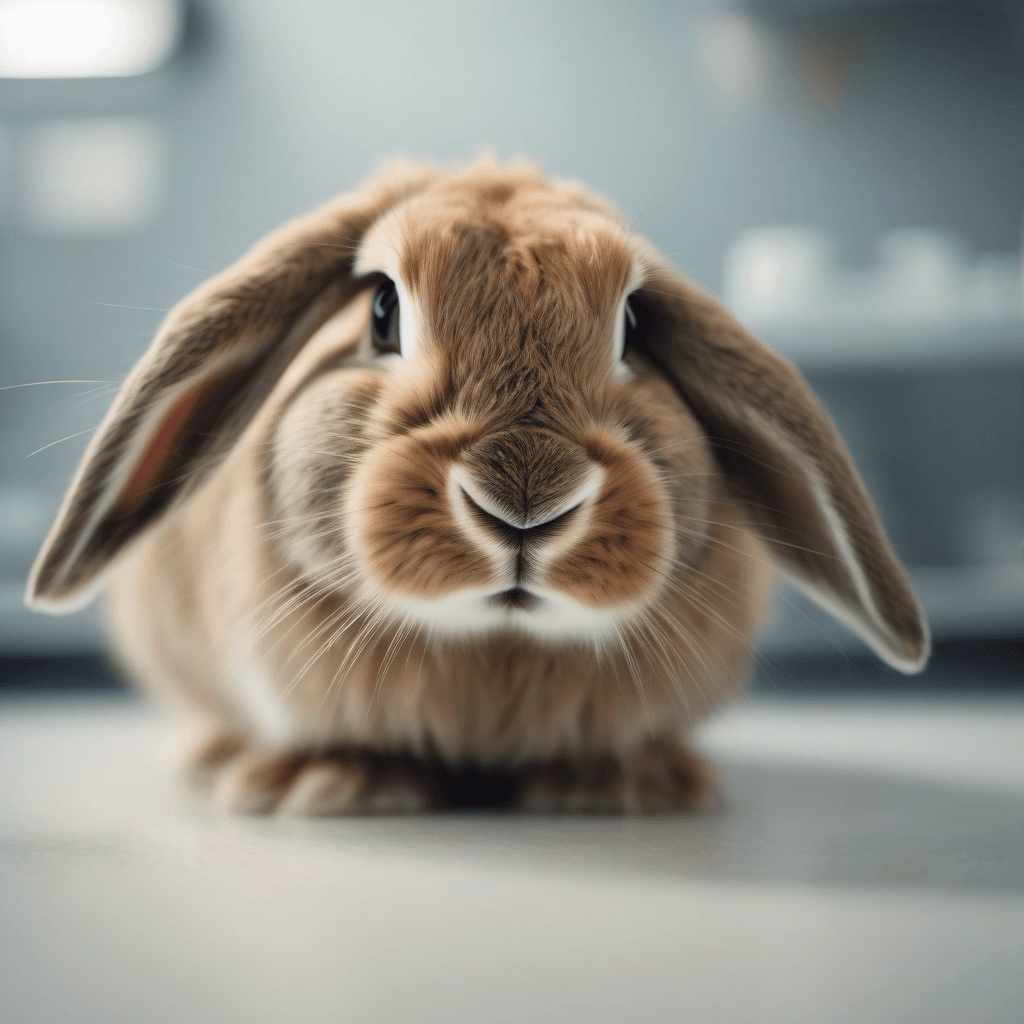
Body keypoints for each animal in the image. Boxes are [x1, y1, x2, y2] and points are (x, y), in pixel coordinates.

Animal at [26, 158, 929, 815]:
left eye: (634, 327)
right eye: (382, 311)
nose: (525, 501)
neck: (490, 650)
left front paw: (615, 786)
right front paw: (329, 785)